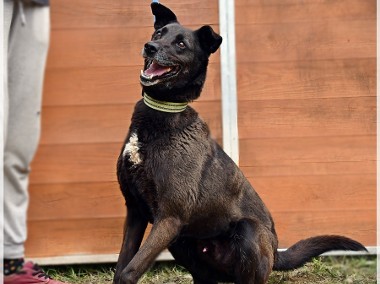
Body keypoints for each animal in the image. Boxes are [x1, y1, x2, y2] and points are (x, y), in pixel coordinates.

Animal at [113, 2, 368, 284]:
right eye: (159, 34)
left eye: (181, 44)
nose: (150, 46)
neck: (161, 112)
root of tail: (276, 253)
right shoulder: (135, 211)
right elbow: (121, 266)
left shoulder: (170, 216)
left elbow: (129, 271)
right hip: (182, 242)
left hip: (246, 232)